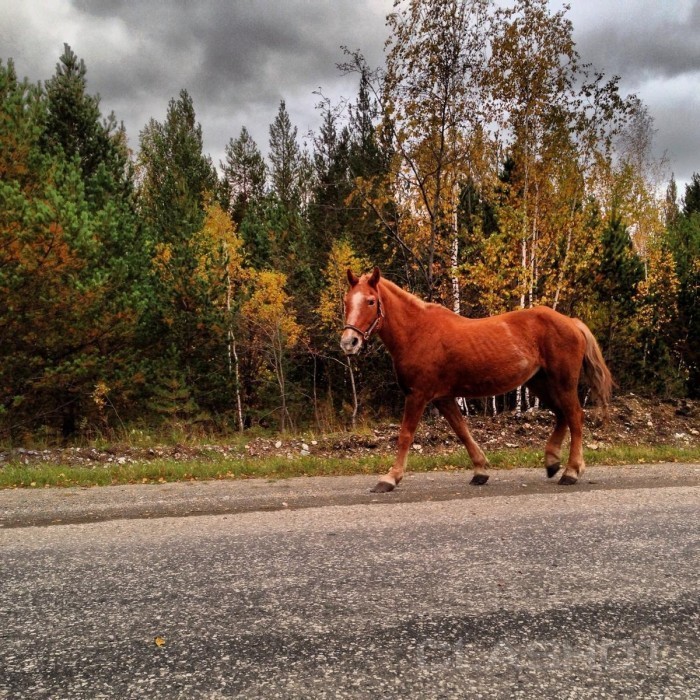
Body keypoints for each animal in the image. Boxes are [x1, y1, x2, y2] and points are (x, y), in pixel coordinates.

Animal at [340, 266, 612, 492]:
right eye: (346, 301)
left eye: (371, 301)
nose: (348, 342)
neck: (417, 332)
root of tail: (572, 322)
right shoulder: (443, 398)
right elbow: (462, 430)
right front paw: (480, 470)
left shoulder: (418, 395)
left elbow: (405, 435)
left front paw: (390, 478)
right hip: (539, 383)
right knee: (561, 415)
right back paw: (552, 462)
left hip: (563, 382)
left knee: (575, 416)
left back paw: (571, 471)